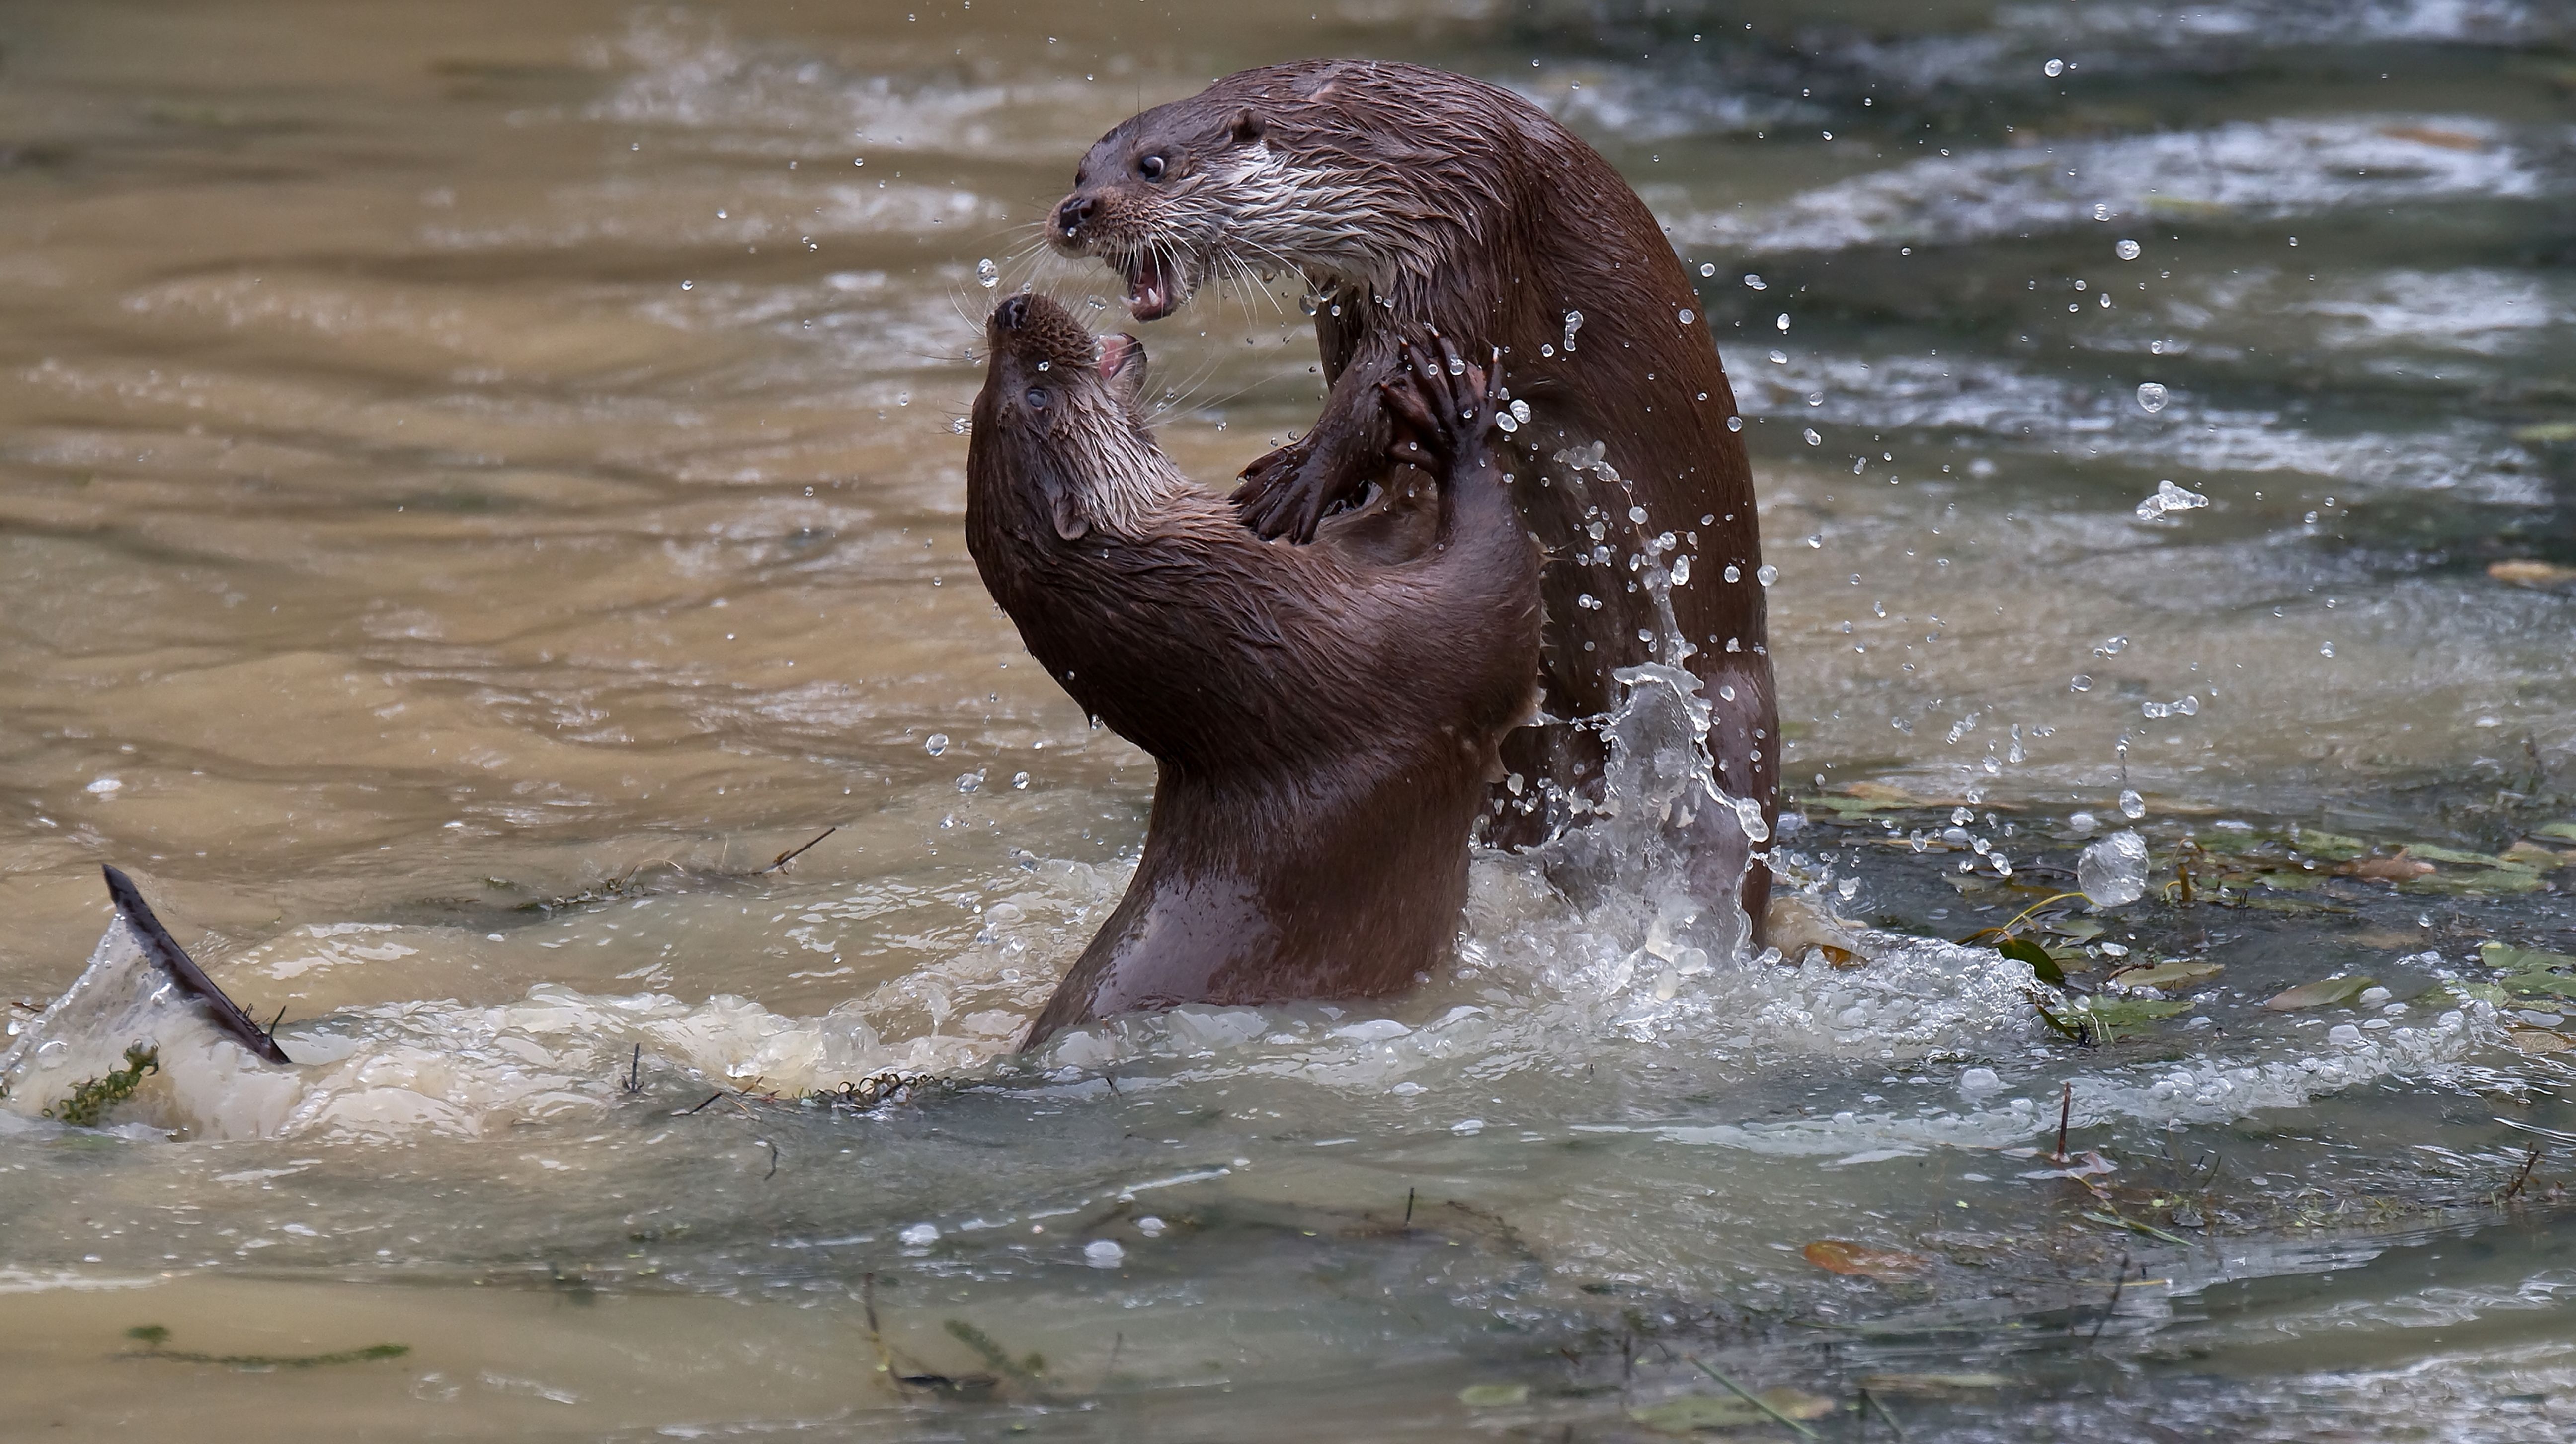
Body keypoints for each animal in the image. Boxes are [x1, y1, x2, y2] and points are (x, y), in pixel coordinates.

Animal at [964, 294, 1540, 1048]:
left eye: (983, 396)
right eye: (1035, 395)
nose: (1011, 308)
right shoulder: (1394, 652)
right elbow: (1497, 597)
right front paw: (1456, 420)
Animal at [1050, 60, 1778, 939]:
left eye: (1153, 165)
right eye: (1082, 170)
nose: (1075, 213)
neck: (1402, 158)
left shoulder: (1469, 234)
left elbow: (1383, 384)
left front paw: (1297, 482)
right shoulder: (1349, 289)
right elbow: (1359, 382)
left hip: (1731, 714)